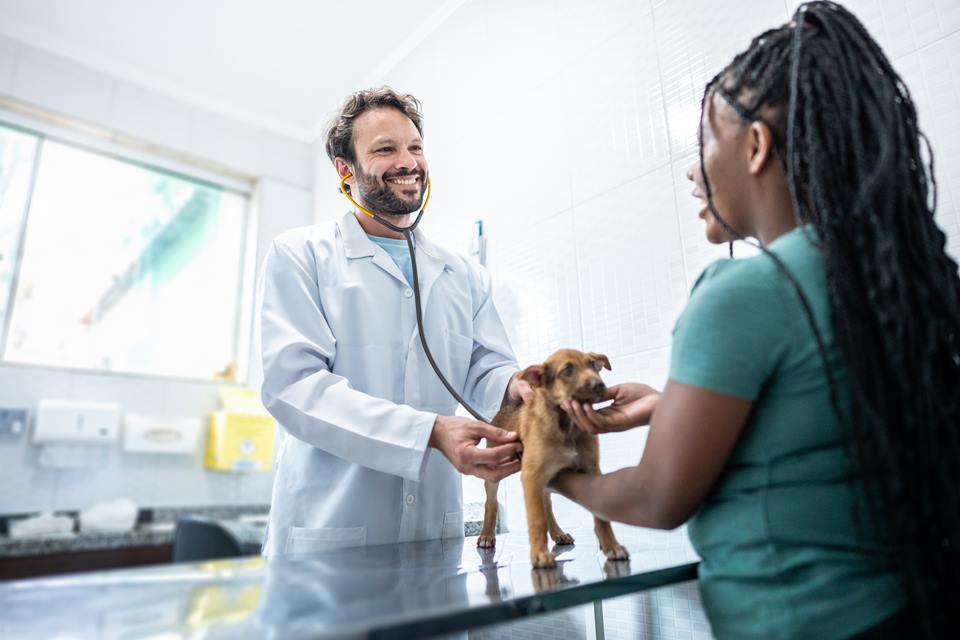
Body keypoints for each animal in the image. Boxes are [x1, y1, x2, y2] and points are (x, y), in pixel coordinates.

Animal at [480, 350, 632, 568]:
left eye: (592, 365)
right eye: (567, 370)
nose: (599, 385)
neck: (567, 426)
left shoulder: (591, 470)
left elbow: (601, 518)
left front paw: (612, 546)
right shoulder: (531, 476)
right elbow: (537, 519)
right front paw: (540, 554)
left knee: (548, 506)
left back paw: (558, 533)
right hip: (494, 471)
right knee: (491, 503)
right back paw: (486, 535)